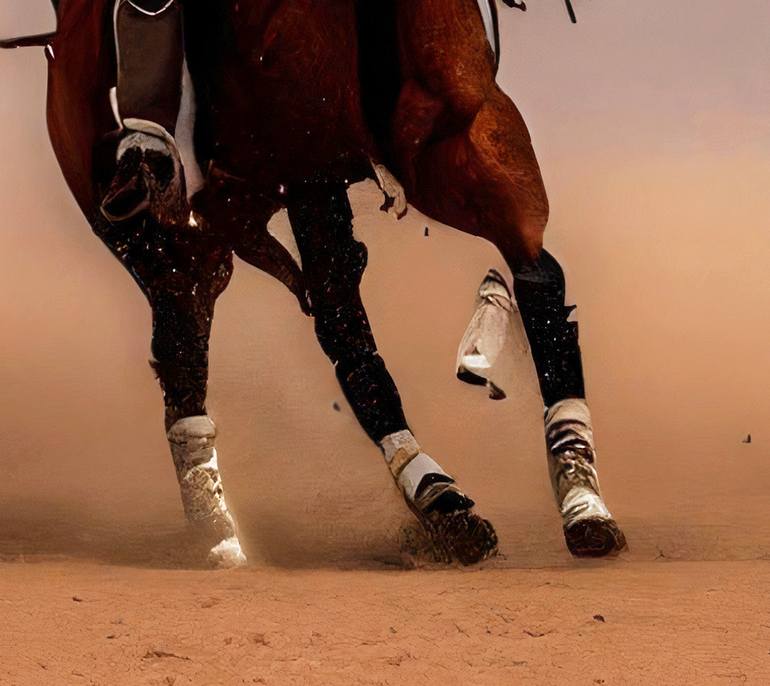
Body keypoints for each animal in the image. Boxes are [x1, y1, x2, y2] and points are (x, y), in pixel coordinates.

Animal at [1, 0, 626, 567]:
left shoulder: (466, 138)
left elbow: (537, 277)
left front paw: (583, 501)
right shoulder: (308, 161)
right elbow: (345, 324)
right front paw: (443, 501)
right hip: (169, 252)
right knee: (186, 356)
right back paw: (218, 532)